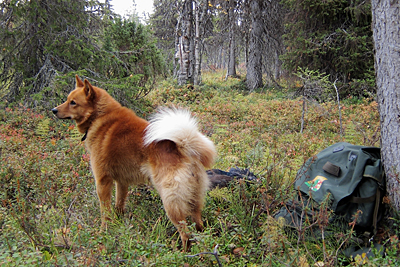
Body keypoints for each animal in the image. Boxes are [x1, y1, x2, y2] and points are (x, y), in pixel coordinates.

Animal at [52, 76, 217, 251]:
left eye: (73, 103)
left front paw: (104, 232)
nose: (53, 110)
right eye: (67, 99)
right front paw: (118, 224)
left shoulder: (102, 181)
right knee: (199, 227)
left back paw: (182, 253)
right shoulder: (122, 182)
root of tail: (184, 147)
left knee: (185, 233)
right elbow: (119, 205)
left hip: (171, 202)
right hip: (194, 201)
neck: (99, 117)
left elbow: (105, 212)